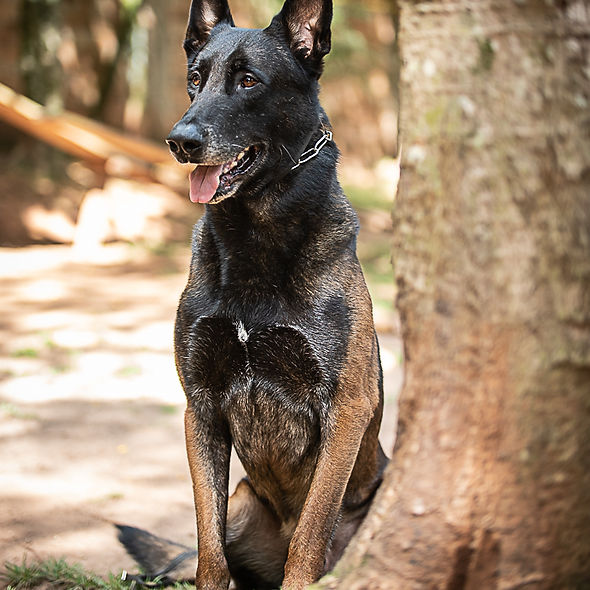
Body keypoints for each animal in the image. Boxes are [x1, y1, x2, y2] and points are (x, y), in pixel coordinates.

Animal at [119, 0, 388, 588]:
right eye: (196, 79)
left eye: (248, 81)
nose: (181, 140)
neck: (254, 240)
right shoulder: (200, 408)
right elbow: (208, 547)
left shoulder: (346, 408)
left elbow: (309, 539)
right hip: (244, 504)